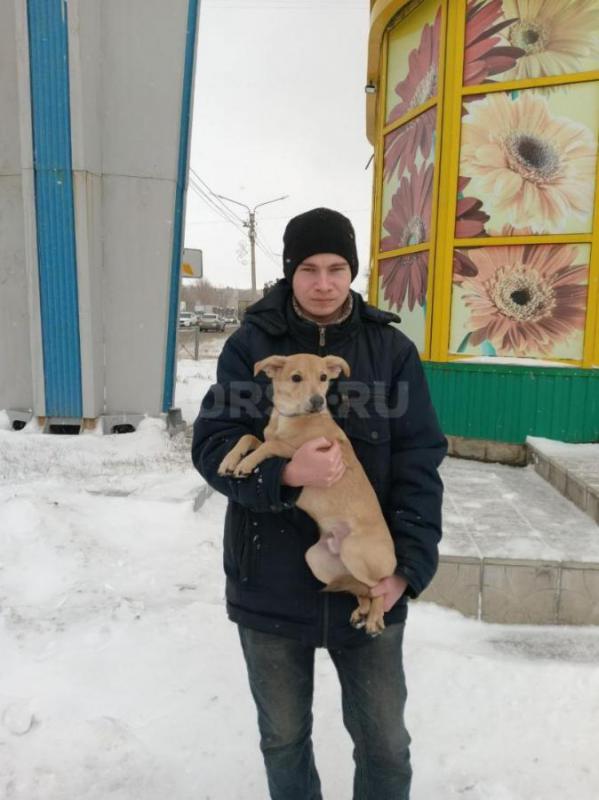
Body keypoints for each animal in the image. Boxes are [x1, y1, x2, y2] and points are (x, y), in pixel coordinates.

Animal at [217, 354, 398, 636]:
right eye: (296, 377)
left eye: (323, 377)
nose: (318, 401)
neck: (290, 416)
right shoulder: (270, 440)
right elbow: (250, 437)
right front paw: (229, 460)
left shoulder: (300, 450)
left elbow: (270, 445)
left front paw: (245, 464)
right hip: (316, 559)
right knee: (361, 588)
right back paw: (362, 611)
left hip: (355, 551)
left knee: (379, 586)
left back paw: (374, 619)